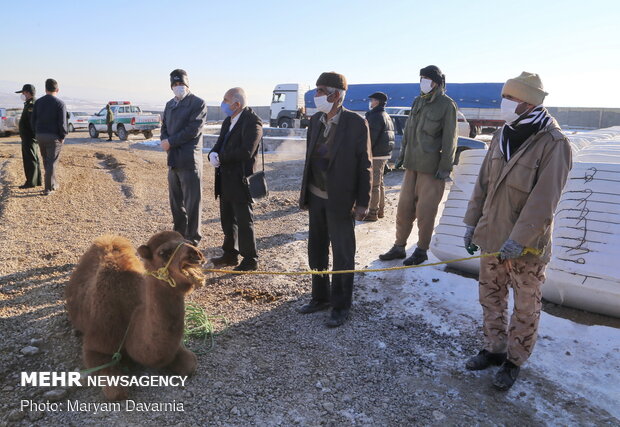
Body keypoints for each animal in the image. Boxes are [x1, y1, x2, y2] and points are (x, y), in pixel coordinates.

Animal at [65, 231, 206, 402]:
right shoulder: (94, 347)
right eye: (164, 253)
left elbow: (190, 364)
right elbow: (117, 392)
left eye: (188, 241)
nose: (196, 255)